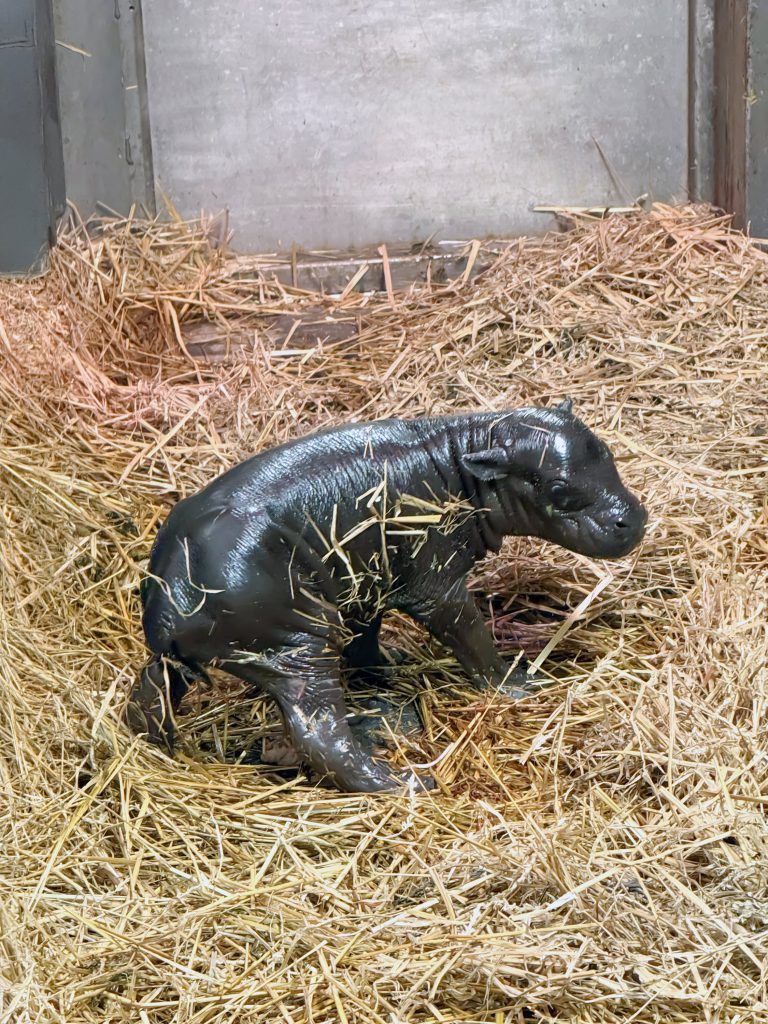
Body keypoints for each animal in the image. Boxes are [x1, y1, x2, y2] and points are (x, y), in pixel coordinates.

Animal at [125, 400, 646, 792]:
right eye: (558, 487)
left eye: (606, 451)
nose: (635, 519)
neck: (462, 456)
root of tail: (168, 604)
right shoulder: (435, 586)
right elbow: (471, 636)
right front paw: (517, 684)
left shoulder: (368, 581)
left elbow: (366, 637)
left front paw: (386, 669)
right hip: (299, 647)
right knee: (320, 734)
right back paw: (405, 782)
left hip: (195, 657)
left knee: (151, 691)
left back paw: (158, 746)